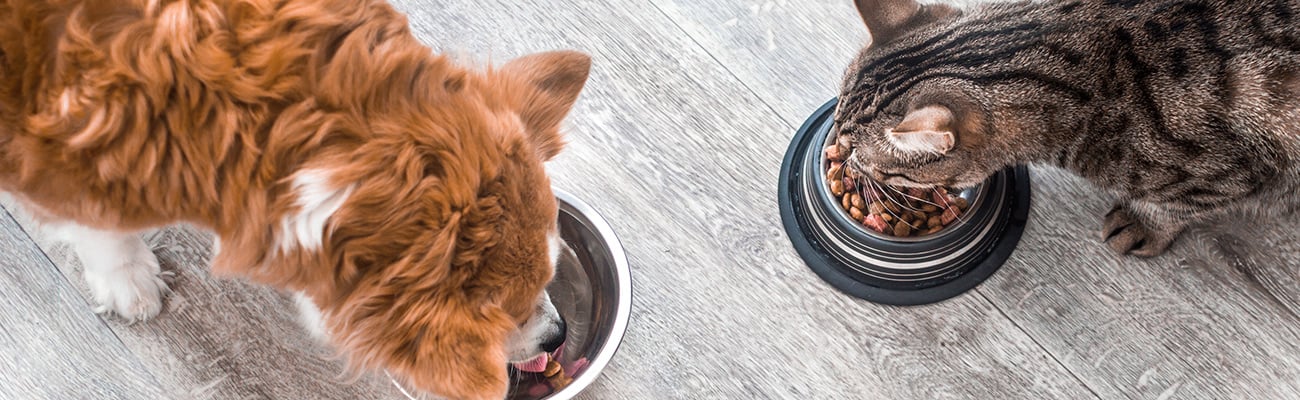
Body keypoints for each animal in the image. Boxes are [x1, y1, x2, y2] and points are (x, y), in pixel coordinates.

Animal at [837, 0, 1294, 255]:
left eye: (864, 158)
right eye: (841, 134)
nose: (843, 160)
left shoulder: (1228, 175)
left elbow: (1173, 206)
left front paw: (1143, 223)